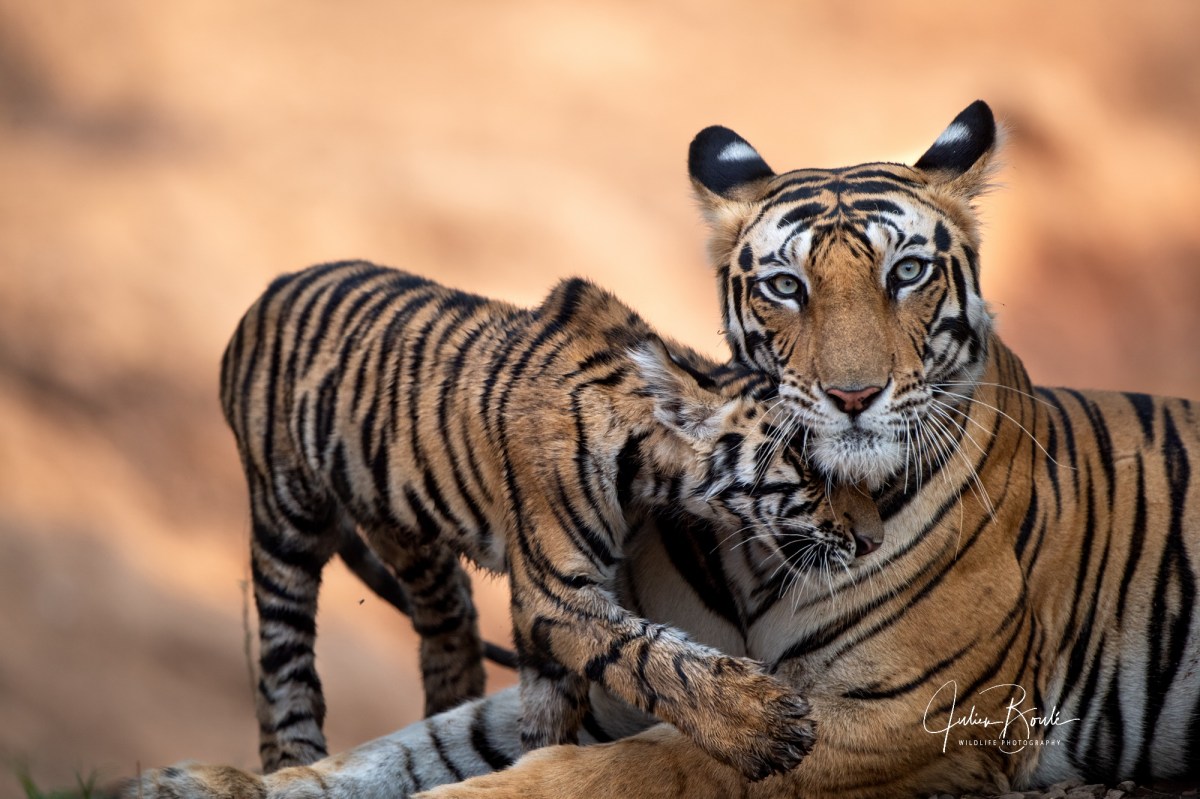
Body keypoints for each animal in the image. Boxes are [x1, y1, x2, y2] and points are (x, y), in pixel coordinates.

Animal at [217, 260, 868, 782]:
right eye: (811, 467)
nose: (871, 539)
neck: (649, 467)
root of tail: (273, 287)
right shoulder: (555, 594)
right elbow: (653, 657)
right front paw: (767, 726)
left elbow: (552, 707)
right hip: (285, 519)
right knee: (284, 666)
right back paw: (291, 758)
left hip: (402, 521)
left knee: (447, 619)